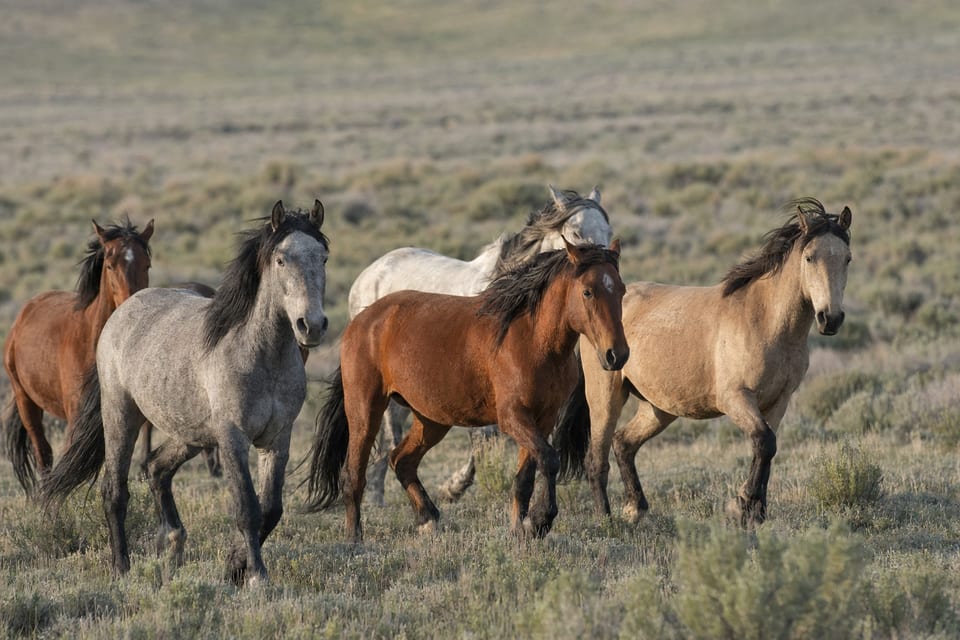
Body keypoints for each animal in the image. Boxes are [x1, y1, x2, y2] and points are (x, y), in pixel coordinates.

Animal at [2, 217, 154, 493]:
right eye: (109, 265)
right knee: (43, 454)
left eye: (146, 264)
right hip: (25, 401)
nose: (132, 308)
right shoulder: (76, 415)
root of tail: (26, 311)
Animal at [40, 201, 329, 586]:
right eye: (281, 259)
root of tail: (123, 310)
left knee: (156, 468)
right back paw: (122, 567)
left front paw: (234, 565)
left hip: (189, 433)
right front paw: (255, 576)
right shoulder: (233, 438)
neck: (260, 354)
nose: (311, 326)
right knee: (115, 489)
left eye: (323, 257)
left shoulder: (277, 439)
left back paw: (172, 544)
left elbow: (271, 509)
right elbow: (248, 509)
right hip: (121, 417)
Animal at [305, 241, 628, 543]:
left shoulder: (542, 418)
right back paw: (354, 538)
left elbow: (525, 477)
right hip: (365, 410)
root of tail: (361, 320)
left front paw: (520, 529)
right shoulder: (513, 417)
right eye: (588, 292)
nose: (617, 355)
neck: (533, 339)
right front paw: (540, 521)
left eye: (622, 290)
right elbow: (549, 459)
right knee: (354, 474)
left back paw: (427, 518)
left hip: (431, 419)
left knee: (402, 460)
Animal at [348, 186, 612, 505]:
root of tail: (369, 273)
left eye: (608, 232)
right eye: (575, 232)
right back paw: (376, 496)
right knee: (388, 433)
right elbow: (484, 439)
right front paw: (454, 487)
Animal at [554, 199, 852, 527]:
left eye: (847, 259)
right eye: (810, 258)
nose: (830, 318)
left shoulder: (779, 402)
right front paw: (742, 505)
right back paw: (606, 519)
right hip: (606, 397)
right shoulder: (735, 398)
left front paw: (756, 510)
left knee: (624, 443)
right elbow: (764, 442)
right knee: (596, 458)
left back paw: (636, 508)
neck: (764, 320)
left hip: (658, 408)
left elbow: (767, 448)